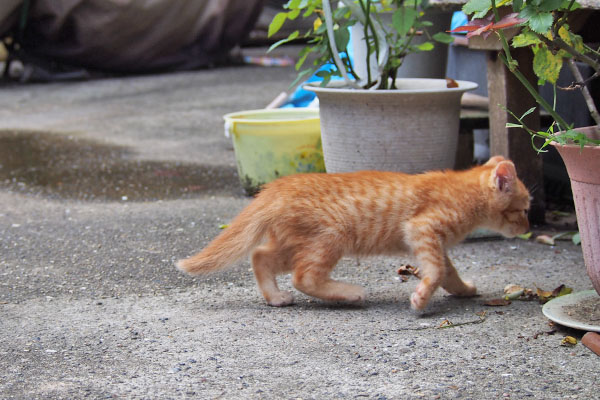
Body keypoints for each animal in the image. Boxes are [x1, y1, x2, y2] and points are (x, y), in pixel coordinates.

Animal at [178, 155, 528, 310]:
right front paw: (422, 296)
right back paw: (349, 293)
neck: (463, 192)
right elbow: (438, 270)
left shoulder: (433, 241)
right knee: (303, 277)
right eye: (525, 208)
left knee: (260, 255)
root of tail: (276, 188)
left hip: (294, 242)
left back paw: (275, 297)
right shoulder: (422, 229)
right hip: (331, 235)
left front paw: (463, 289)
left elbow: (448, 271)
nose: (528, 228)